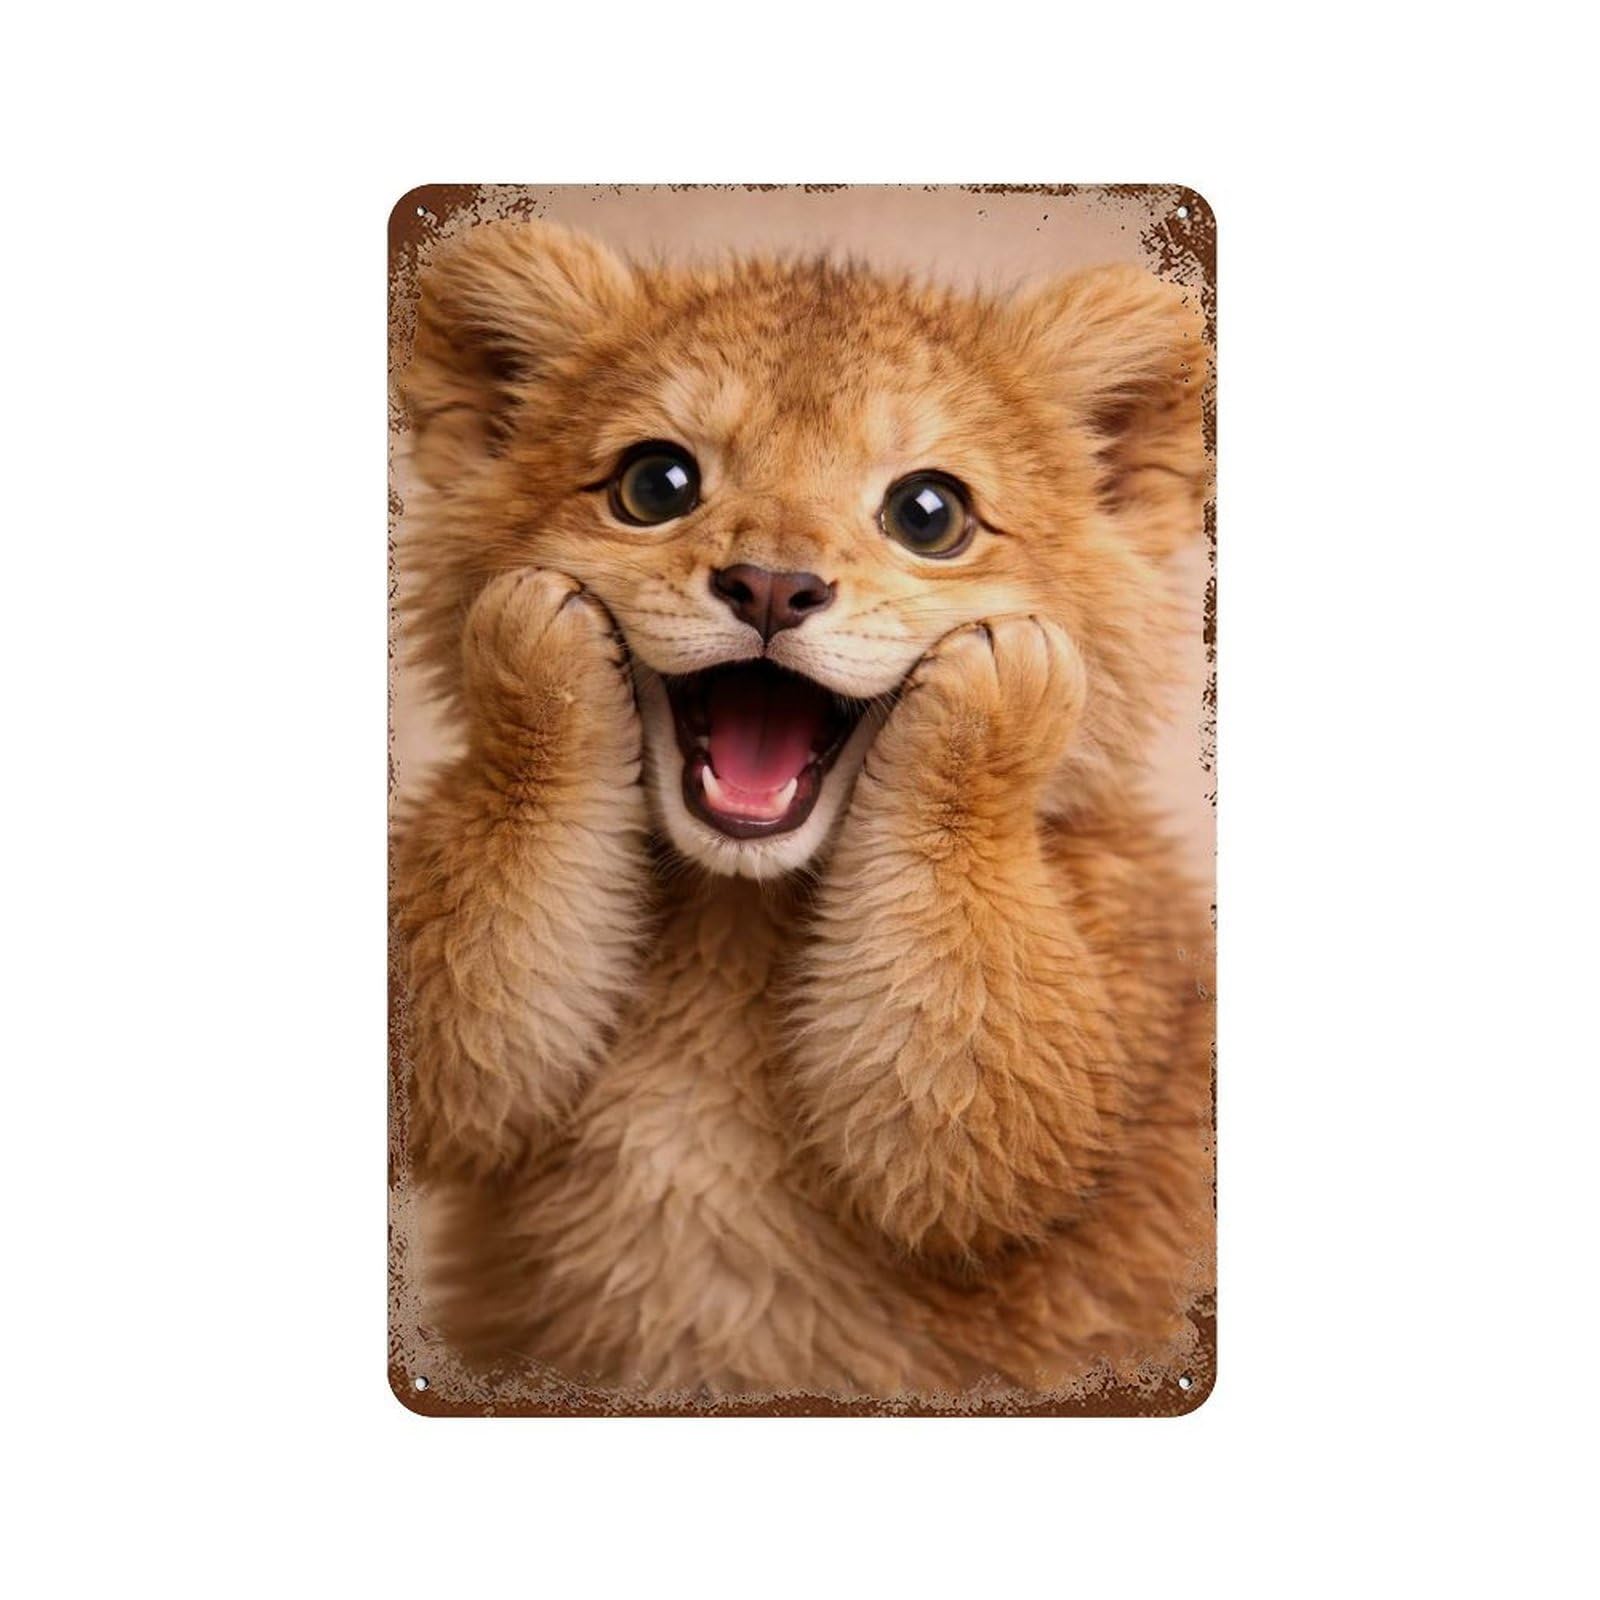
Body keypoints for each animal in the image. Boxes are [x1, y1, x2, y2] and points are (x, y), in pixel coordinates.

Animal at [391, 218, 1214, 1403]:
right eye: (655, 484)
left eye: (929, 514)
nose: (772, 588)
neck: (733, 933)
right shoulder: (464, 1068)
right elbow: (466, 1036)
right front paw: (534, 638)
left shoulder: (1092, 1047)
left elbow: (978, 1089)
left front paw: (998, 690)